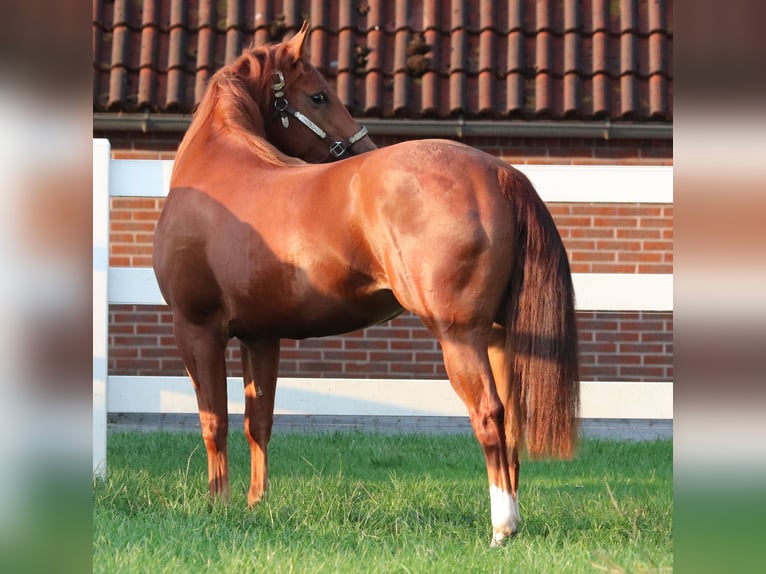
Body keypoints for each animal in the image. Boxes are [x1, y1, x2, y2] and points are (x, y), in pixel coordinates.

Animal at [153, 23, 579, 547]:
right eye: (318, 95)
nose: (363, 148)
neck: (217, 171)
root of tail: (499, 172)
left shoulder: (197, 330)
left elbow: (214, 422)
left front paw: (219, 506)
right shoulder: (261, 336)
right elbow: (259, 423)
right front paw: (255, 505)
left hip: (460, 335)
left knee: (489, 414)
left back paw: (502, 526)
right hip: (501, 337)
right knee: (514, 420)